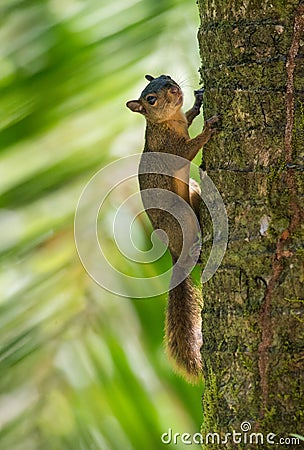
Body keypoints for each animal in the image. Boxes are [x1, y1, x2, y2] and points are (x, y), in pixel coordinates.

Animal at [126, 74, 218, 384]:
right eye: (150, 100)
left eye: (165, 76)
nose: (173, 88)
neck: (168, 122)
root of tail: (173, 252)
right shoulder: (171, 147)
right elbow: (189, 149)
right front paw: (209, 128)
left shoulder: (182, 124)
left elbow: (189, 117)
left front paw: (198, 103)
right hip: (178, 216)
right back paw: (195, 248)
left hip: (192, 191)